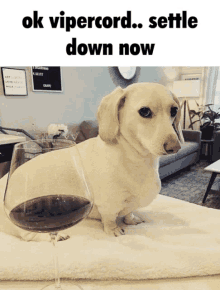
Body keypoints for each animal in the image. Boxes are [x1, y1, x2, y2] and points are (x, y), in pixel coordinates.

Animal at [0, 82, 184, 240]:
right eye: (144, 111)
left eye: (174, 110)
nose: (175, 147)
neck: (134, 157)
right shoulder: (108, 205)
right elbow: (110, 219)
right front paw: (114, 230)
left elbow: (128, 212)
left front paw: (131, 219)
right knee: (30, 234)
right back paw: (57, 235)